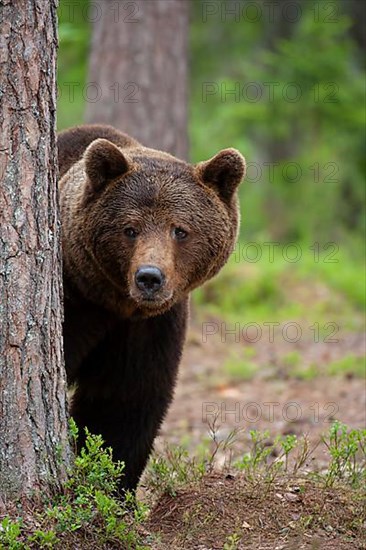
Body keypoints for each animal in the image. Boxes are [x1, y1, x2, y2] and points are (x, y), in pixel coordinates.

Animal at [58, 126, 246, 496]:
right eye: (129, 229)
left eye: (180, 230)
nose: (149, 277)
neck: (112, 302)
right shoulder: (76, 303)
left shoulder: (149, 327)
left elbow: (123, 402)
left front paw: (111, 487)